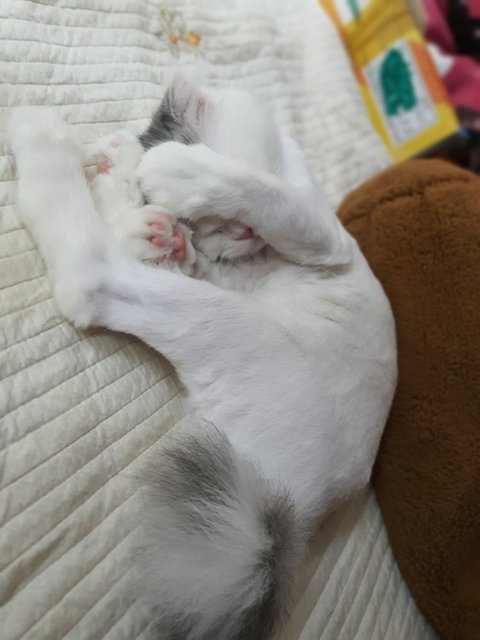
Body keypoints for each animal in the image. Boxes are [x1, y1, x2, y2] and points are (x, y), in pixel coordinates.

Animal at [8, 76, 397, 640]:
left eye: (215, 220)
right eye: (198, 225)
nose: (234, 234)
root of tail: (288, 513)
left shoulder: (324, 234)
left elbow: (264, 191)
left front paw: (171, 169)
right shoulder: (248, 259)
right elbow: (221, 227)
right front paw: (138, 193)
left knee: (96, 271)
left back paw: (66, 154)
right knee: (99, 271)